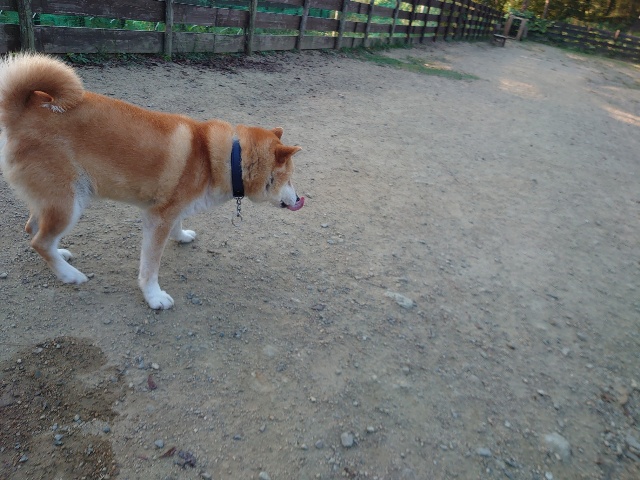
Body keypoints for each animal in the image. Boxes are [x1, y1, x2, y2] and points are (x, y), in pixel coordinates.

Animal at [0, 53, 304, 309]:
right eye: (289, 178)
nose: (299, 199)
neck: (225, 157)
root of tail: (23, 107)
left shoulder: (172, 210)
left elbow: (179, 222)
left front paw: (181, 236)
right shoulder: (157, 218)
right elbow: (150, 266)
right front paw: (153, 296)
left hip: (56, 199)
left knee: (33, 229)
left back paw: (60, 256)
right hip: (70, 203)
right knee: (39, 241)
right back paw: (69, 275)